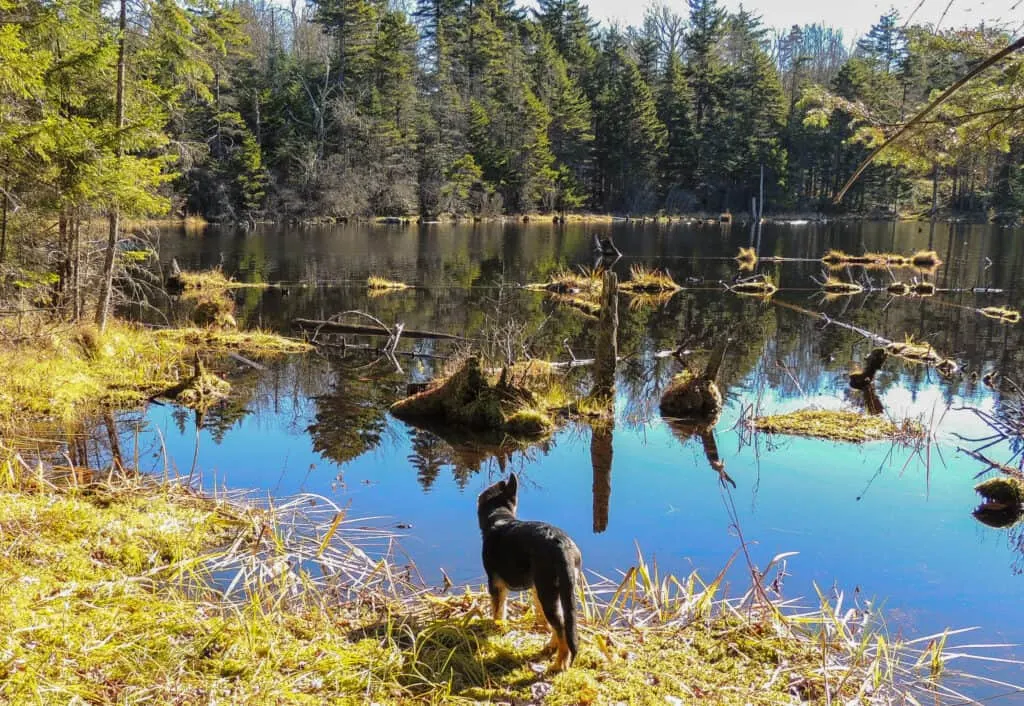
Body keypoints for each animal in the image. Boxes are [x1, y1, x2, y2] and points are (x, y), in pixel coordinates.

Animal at [475, 471, 581, 668]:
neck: (500, 517)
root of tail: (562, 546)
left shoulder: (495, 583)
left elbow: (498, 610)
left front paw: (496, 629)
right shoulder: (534, 587)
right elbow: (538, 612)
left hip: (548, 591)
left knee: (562, 627)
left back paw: (559, 664)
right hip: (558, 590)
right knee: (562, 624)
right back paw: (551, 646)